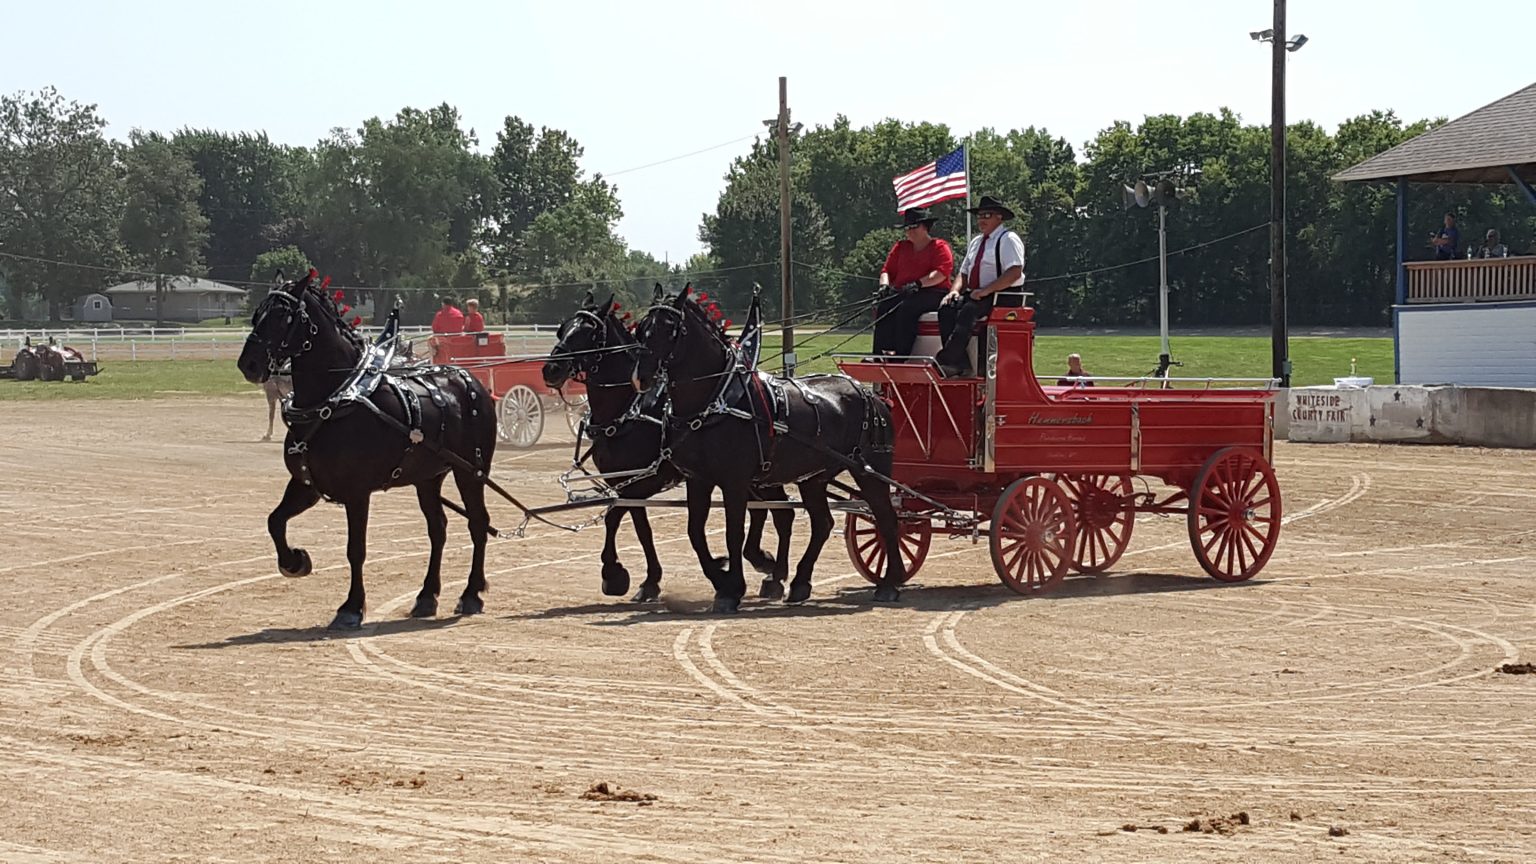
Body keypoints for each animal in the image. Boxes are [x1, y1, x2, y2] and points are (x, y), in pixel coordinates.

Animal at [236, 269, 497, 624]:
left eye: (281, 316)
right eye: (257, 314)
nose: (248, 364)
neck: (334, 400)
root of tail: (471, 380)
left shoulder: (357, 493)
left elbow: (355, 550)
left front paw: (351, 607)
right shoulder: (306, 484)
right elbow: (274, 521)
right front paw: (295, 561)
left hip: (471, 472)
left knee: (478, 523)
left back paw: (471, 593)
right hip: (428, 478)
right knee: (438, 530)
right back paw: (427, 596)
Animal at [543, 290, 792, 599]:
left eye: (589, 333)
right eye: (562, 329)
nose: (550, 369)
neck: (627, 409)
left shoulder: (640, 484)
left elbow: (618, 519)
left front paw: (619, 575)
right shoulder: (624, 484)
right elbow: (637, 527)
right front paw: (640, 578)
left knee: (780, 513)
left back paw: (773, 571)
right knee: (768, 511)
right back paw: (764, 563)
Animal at [629, 285, 903, 608]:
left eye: (670, 329)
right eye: (642, 328)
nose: (640, 378)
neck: (714, 400)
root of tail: (867, 393)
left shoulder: (734, 482)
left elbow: (734, 533)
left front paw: (732, 588)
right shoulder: (698, 480)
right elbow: (695, 533)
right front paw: (722, 578)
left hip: (869, 472)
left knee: (886, 518)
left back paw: (890, 582)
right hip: (813, 478)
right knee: (822, 524)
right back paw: (800, 583)